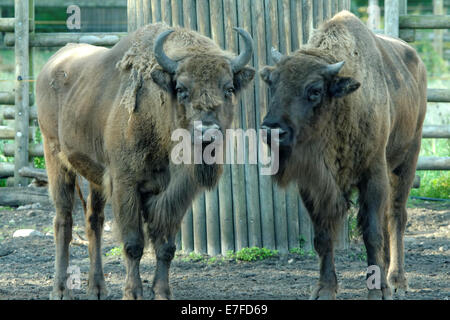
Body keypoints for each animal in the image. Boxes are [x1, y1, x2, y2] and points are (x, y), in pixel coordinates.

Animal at [37, 23, 255, 300]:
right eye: (181, 89)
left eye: (228, 89)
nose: (207, 133)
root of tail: (53, 62)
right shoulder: (126, 185)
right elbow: (133, 244)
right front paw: (133, 293)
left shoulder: (176, 194)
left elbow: (166, 247)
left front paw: (162, 293)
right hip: (55, 156)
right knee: (63, 220)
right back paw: (61, 290)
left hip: (96, 176)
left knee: (94, 220)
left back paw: (97, 288)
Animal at [260, 10, 426, 300]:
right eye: (272, 84)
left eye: (315, 90)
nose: (272, 130)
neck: (345, 102)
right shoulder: (313, 185)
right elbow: (323, 236)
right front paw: (324, 289)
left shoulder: (373, 173)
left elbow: (371, 233)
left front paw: (378, 291)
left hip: (407, 159)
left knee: (396, 216)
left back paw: (397, 281)